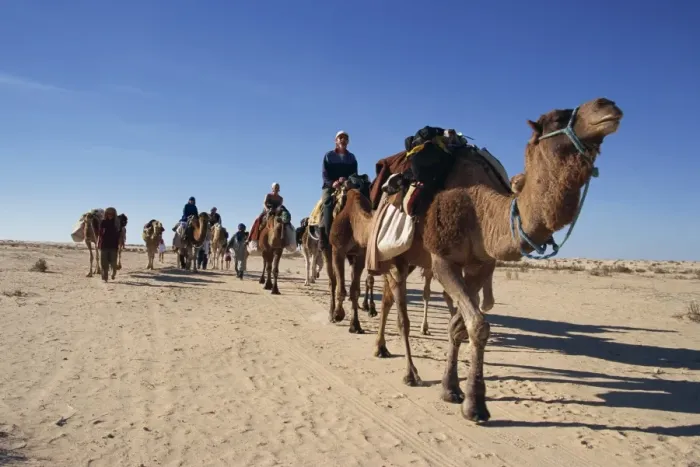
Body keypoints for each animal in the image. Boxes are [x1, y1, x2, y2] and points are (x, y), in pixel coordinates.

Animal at [356, 98, 622, 423]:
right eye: (557, 119)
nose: (607, 105)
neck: (481, 212)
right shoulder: (443, 261)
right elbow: (478, 325)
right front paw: (475, 405)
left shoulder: (481, 266)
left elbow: (459, 326)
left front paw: (451, 388)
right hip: (396, 255)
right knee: (401, 315)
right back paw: (410, 372)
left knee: (388, 302)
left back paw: (381, 347)